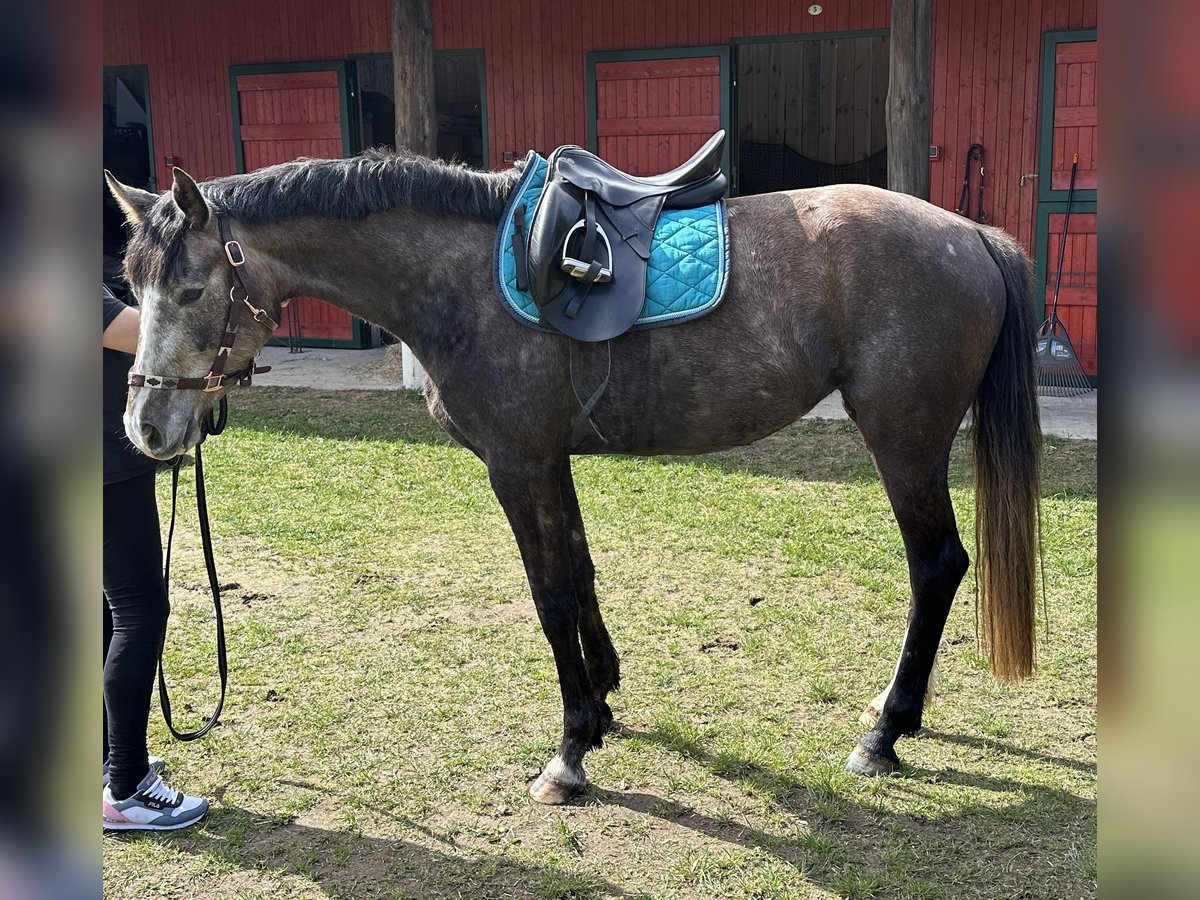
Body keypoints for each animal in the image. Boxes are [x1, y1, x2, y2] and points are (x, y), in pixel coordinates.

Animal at [105, 150, 1041, 811]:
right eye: (132, 287)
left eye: (192, 289)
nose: (147, 430)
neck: (464, 280)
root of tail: (972, 235)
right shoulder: (552, 460)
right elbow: (582, 574)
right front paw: (605, 703)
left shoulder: (518, 463)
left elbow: (551, 595)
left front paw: (570, 752)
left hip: (904, 440)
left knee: (937, 566)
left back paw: (886, 732)